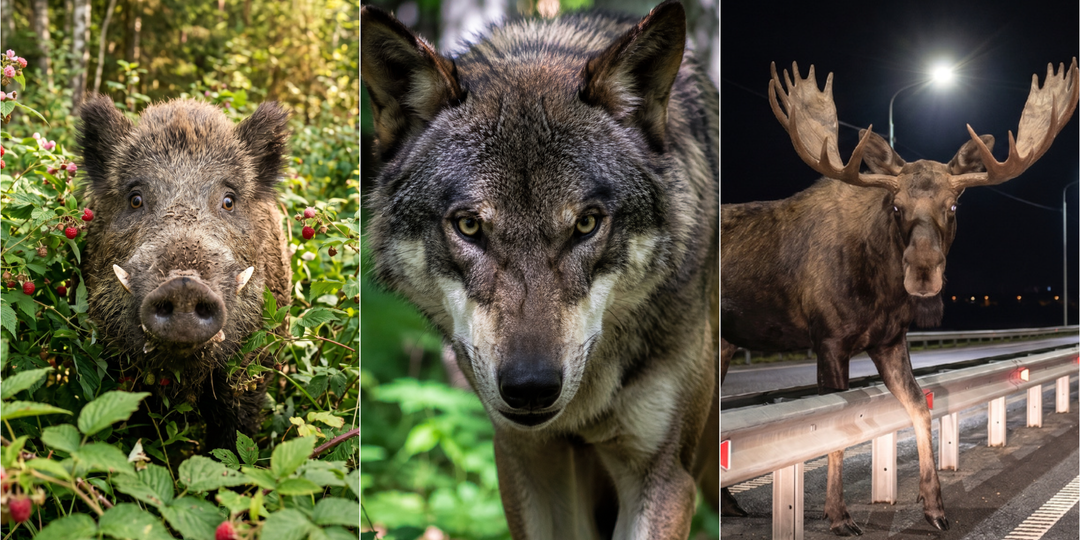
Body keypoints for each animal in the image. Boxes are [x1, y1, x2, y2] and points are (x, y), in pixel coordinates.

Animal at [720, 58, 1078, 535]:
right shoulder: (829, 340)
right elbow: (835, 432)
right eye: (895, 207)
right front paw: (839, 516)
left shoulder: (890, 341)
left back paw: (729, 502)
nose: (923, 273)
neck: (881, 290)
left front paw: (934, 506)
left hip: (725, 344)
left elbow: (920, 410)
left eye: (953, 205)